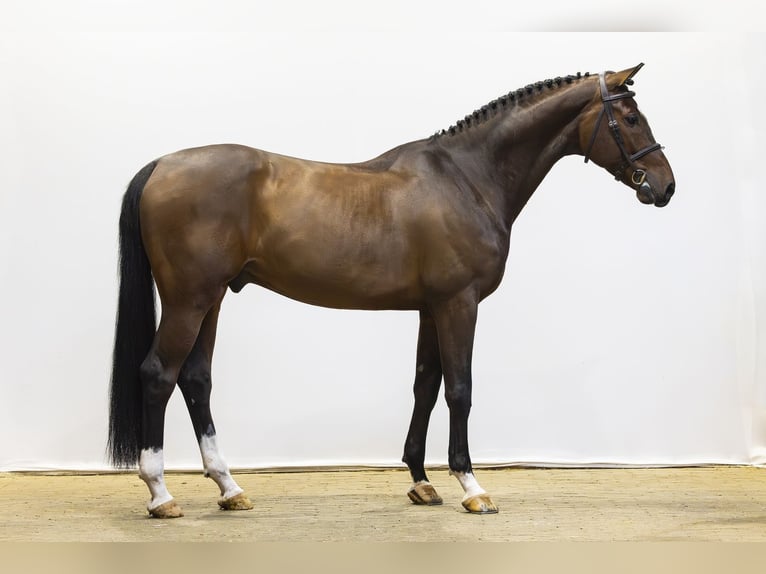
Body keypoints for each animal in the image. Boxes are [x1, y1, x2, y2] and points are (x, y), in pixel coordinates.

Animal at [108, 63, 675, 518]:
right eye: (630, 119)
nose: (665, 186)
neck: (468, 178)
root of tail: (161, 165)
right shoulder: (459, 304)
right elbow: (460, 389)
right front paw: (472, 487)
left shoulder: (431, 308)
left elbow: (425, 385)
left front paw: (422, 483)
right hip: (188, 300)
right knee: (159, 375)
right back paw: (161, 495)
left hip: (213, 298)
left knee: (196, 380)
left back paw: (230, 489)